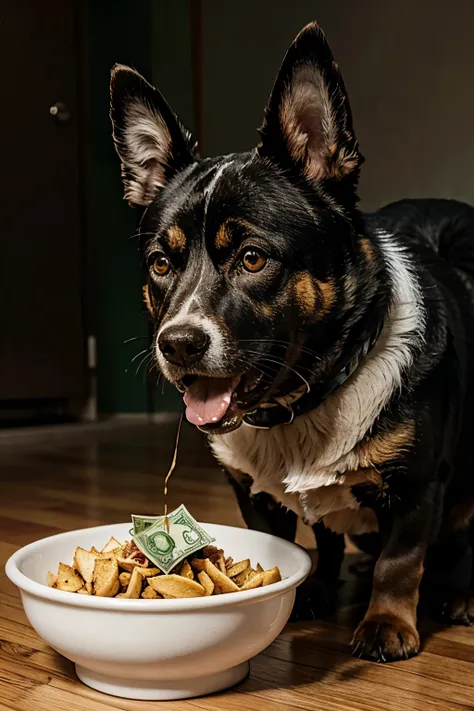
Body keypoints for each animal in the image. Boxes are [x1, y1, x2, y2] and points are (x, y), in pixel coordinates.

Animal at [109, 23, 474, 668]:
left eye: (253, 258)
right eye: (160, 263)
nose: (177, 345)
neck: (305, 400)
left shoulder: (419, 487)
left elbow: (400, 562)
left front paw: (386, 624)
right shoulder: (255, 496)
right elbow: (294, 547)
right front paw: (299, 590)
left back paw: (455, 595)